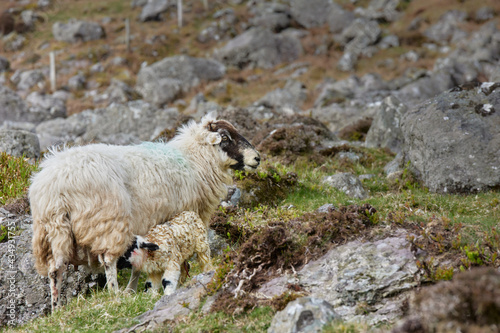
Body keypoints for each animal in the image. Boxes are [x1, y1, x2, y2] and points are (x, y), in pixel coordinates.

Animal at [28, 112, 260, 308]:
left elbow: (140, 262)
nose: (257, 158)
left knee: (55, 270)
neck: (194, 161)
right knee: (109, 260)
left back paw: (56, 308)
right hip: (108, 221)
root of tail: (56, 183)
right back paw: (115, 294)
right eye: (225, 137)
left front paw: (137, 288)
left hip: (55, 230)